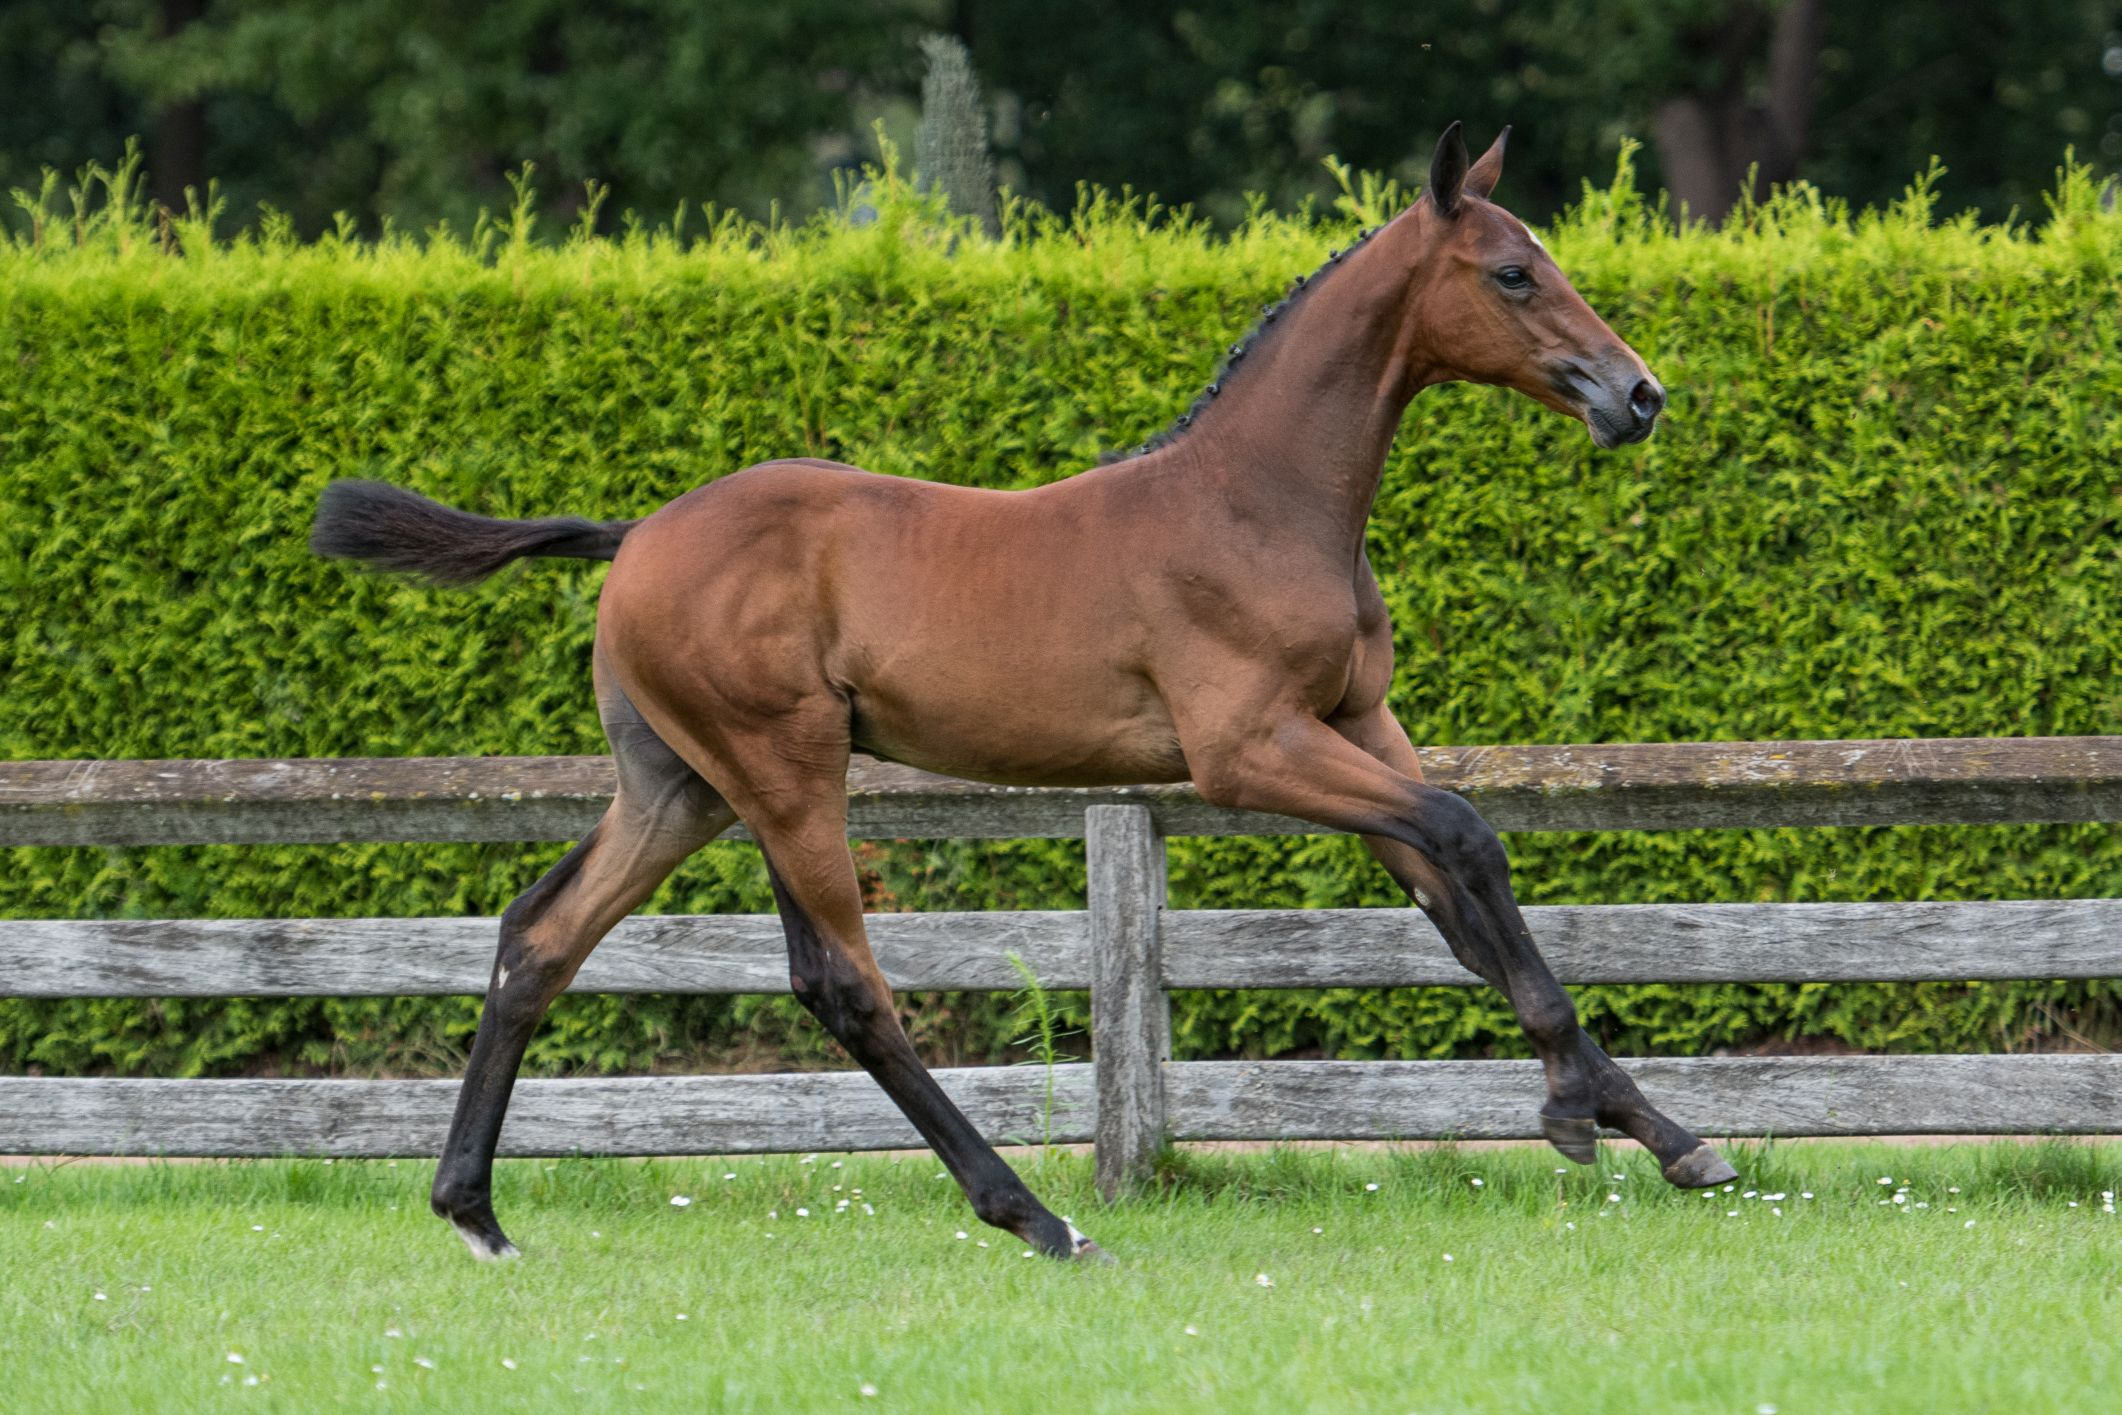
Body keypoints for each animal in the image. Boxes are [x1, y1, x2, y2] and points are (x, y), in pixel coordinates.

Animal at [311, 123, 1736, 1264]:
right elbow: (1464, 833)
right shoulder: (1246, 751)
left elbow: (1460, 899)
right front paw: (1575, 1111)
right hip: (783, 771)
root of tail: (639, 535)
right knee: (842, 983)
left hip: (683, 789)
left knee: (540, 935)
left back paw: (475, 1211)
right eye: (1512, 272)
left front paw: (1661, 1127)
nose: (1638, 393)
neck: (1258, 502)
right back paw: (1036, 1215)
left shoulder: (1354, 725)